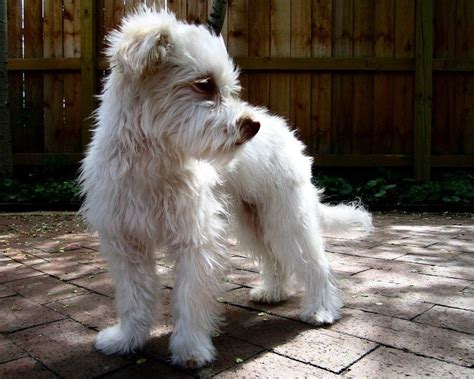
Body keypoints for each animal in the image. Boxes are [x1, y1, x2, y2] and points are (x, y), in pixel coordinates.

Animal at [79, 8, 372, 370]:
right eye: (204, 84)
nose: (252, 125)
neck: (152, 162)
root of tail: (284, 131)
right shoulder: (127, 245)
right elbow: (134, 298)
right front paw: (126, 340)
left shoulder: (194, 241)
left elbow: (189, 298)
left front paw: (191, 349)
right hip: (252, 221)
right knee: (275, 261)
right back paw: (273, 292)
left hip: (286, 218)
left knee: (315, 264)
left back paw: (321, 309)